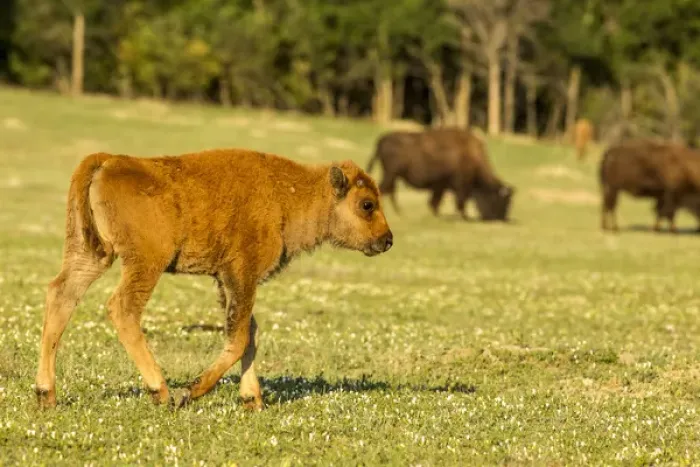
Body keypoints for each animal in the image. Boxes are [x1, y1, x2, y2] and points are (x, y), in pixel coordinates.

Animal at [35, 148, 393, 410]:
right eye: (367, 205)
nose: (388, 240)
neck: (288, 194)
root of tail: (108, 159)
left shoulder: (226, 281)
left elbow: (249, 333)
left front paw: (252, 400)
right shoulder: (241, 275)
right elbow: (239, 337)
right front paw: (191, 392)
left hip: (91, 253)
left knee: (61, 296)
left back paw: (45, 394)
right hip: (145, 263)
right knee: (122, 308)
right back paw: (161, 391)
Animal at [365, 128, 515, 221]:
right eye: (503, 201)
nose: (502, 218)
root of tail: (381, 140)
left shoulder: (440, 186)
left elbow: (435, 202)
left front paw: (438, 215)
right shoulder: (459, 185)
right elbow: (459, 202)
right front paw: (463, 217)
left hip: (393, 176)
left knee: (389, 191)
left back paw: (399, 213)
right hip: (391, 174)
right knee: (385, 190)